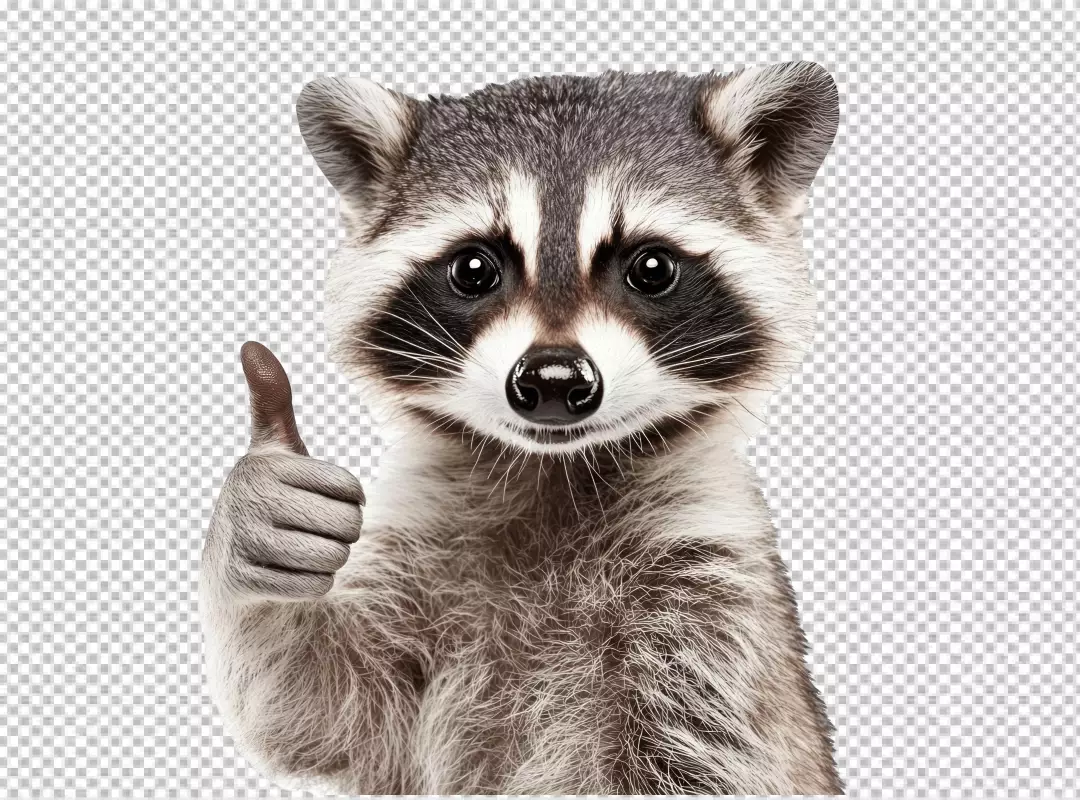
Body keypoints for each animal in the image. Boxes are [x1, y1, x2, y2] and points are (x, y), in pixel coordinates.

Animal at [199, 63, 841, 795]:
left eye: (651, 268)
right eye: (474, 268)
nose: (555, 380)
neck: (554, 470)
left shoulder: (711, 587)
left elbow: (714, 759)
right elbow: (323, 707)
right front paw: (253, 524)